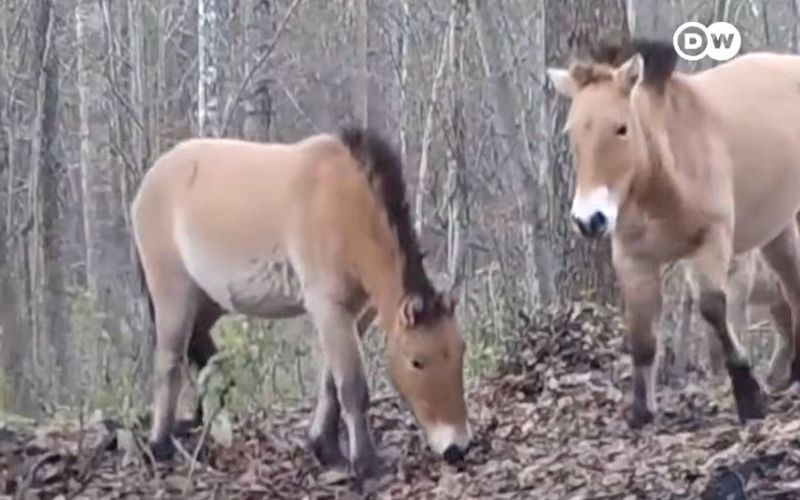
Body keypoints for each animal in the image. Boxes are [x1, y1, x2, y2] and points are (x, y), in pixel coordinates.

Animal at [131, 126, 471, 478]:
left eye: (460, 351)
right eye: (416, 361)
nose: (456, 448)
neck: (345, 205)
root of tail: (151, 179)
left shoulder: (357, 314)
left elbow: (331, 383)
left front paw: (326, 449)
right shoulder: (329, 308)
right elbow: (351, 386)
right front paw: (366, 464)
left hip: (208, 300)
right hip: (174, 294)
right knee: (169, 363)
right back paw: (160, 447)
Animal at [546, 39, 800, 428]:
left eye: (621, 128)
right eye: (572, 132)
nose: (590, 220)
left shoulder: (712, 244)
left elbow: (714, 311)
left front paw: (748, 396)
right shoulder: (634, 260)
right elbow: (641, 334)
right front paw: (641, 411)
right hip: (777, 232)